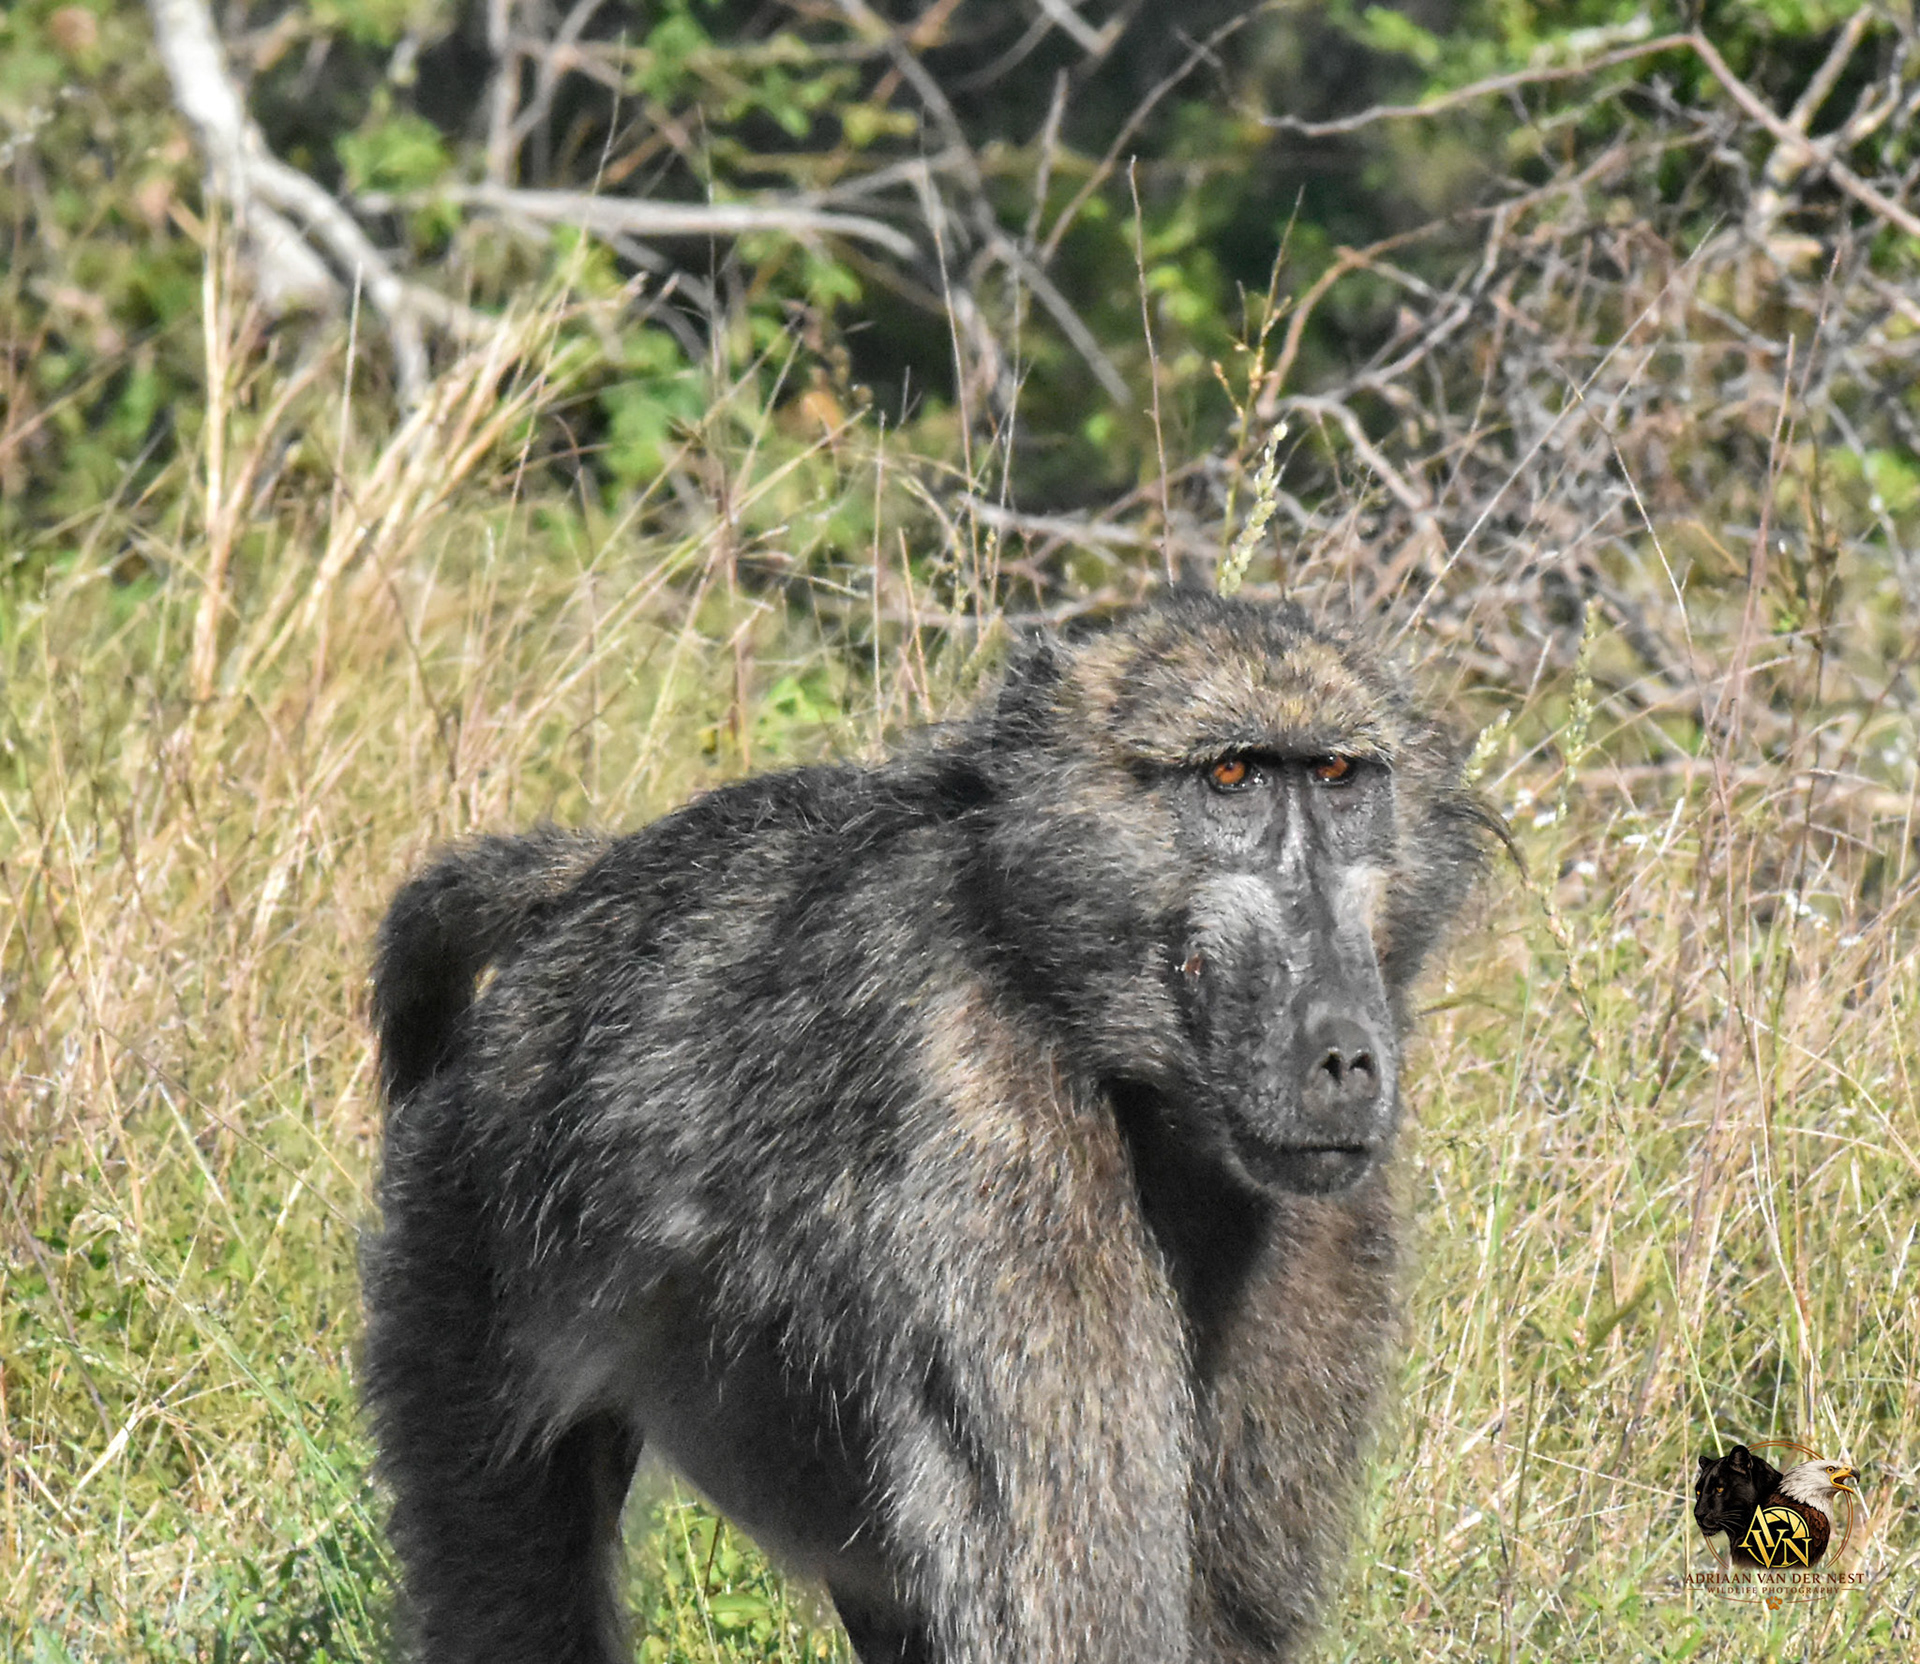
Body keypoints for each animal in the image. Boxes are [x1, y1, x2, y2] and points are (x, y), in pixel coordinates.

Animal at [361, 591, 1494, 1664]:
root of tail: (586, 895)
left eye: (1339, 775)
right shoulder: (985, 1142)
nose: (1344, 1059)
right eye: (1232, 777)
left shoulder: (1315, 1218)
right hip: (469, 1244)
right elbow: (1076, 1616)